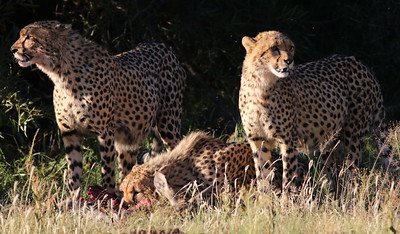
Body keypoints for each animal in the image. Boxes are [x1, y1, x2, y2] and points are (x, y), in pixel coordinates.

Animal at [10, 21, 186, 196]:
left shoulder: (105, 132)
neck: (61, 72)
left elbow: (107, 170)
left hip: (168, 124)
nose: (12, 49)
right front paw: (72, 200)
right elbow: (74, 172)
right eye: (20, 35)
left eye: (30, 37)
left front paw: (107, 196)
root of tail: (161, 45)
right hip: (127, 138)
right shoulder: (70, 132)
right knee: (127, 169)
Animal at [239, 30, 396, 193]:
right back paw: (332, 195)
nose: (289, 61)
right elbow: (261, 173)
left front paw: (285, 199)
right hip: (329, 139)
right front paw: (264, 197)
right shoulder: (258, 139)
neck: (260, 84)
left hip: (353, 134)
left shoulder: (288, 140)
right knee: (332, 171)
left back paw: (348, 196)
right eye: (274, 48)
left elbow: (288, 177)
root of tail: (359, 63)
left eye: (291, 48)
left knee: (351, 171)